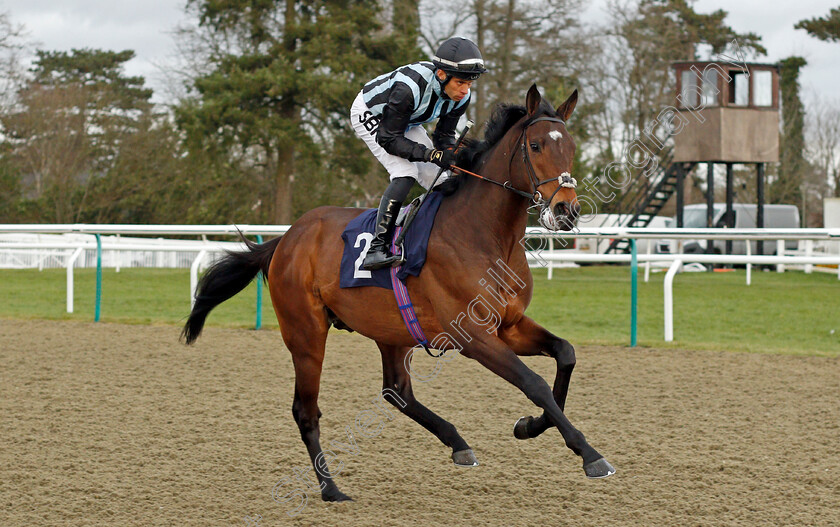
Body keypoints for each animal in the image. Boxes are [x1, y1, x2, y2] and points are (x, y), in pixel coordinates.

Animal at [184, 83, 612, 504]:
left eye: (571, 146)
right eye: (536, 146)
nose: (567, 211)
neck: (484, 234)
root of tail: (287, 238)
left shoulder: (509, 325)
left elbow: (565, 355)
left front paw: (530, 426)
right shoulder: (474, 337)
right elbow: (534, 383)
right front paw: (590, 454)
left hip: (391, 330)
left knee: (396, 391)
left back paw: (457, 443)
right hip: (305, 334)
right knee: (306, 411)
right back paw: (331, 489)